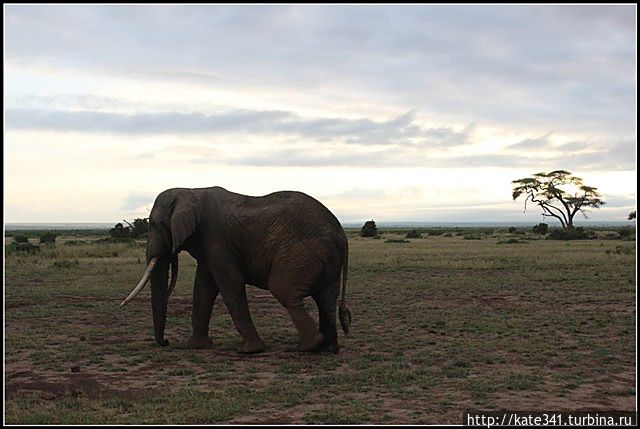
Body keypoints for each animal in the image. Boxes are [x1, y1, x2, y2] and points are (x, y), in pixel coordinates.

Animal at [122, 186, 352, 352]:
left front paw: (249, 351)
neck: (189, 190)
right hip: (325, 257)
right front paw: (196, 346)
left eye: (154, 224)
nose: (167, 342)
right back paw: (328, 349)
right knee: (326, 298)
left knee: (283, 289)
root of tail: (342, 235)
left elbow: (229, 283)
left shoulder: (216, 238)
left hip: (303, 251)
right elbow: (204, 288)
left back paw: (308, 346)